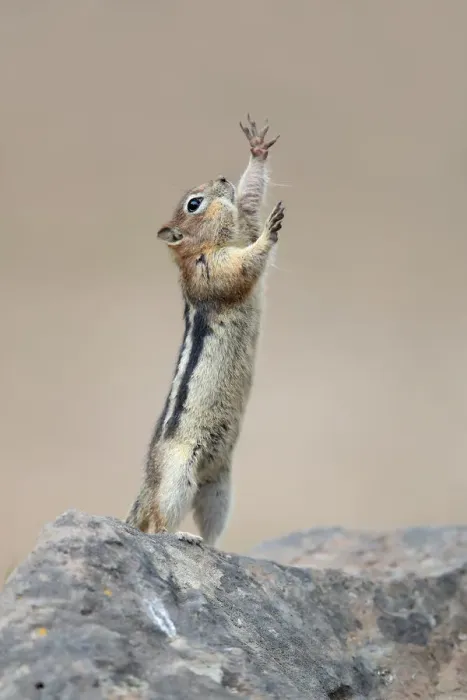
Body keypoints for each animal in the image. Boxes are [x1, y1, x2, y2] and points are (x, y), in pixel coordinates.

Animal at [125, 115, 284, 546]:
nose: (223, 177)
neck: (211, 245)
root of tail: (147, 486)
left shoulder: (241, 226)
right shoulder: (211, 271)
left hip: (219, 488)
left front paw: (257, 151)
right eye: (193, 204)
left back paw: (217, 546)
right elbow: (243, 266)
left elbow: (248, 204)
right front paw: (270, 232)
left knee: (212, 522)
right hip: (177, 476)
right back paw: (182, 536)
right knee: (158, 521)